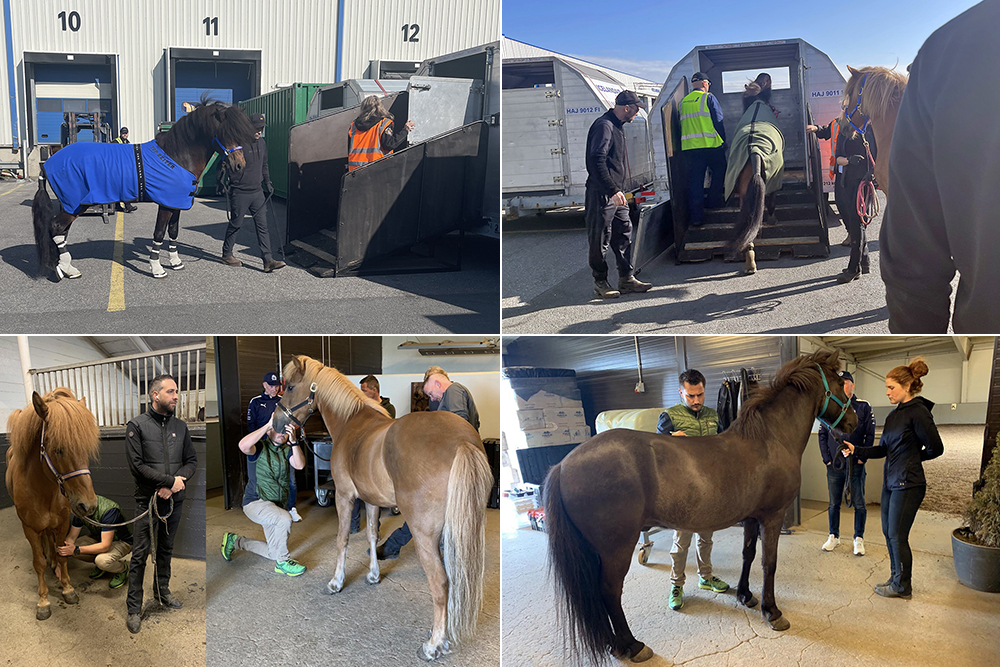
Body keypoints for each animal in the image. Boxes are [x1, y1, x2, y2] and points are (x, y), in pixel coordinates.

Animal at [4, 386, 101, 620]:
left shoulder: (63, 522)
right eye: (58, 449)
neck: (43, 489)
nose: (88, 506)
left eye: (85, 449)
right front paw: (43, 601)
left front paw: (67, 588)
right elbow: (38, 562)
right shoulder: (29, 528)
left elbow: (62, 553)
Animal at [33, 96, 256, 280]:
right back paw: (65, 269)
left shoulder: (176, 203)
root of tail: (48, 163)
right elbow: (159, 233)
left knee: (61, 231)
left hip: (72, 205)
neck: (177, 156)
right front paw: (157, 268)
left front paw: (175, 262)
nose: (240, 165)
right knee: (57, 227)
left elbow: (173, 232)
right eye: (225, 132)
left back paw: (65, 267)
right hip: (76, 204)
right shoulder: (166, 205)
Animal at [272, 354, 494, 664]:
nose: (276, 424)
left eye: (291, 386)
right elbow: (371, 535)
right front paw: (373, 575)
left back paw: (434, 644)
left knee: (440, 583)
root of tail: (462, 441)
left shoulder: (345, 496)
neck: (351, 423)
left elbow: (342, 539)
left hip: (425, 534)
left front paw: (336, 582)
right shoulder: (371, 501)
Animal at [548, 350, 860, 664]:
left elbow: (748, 555)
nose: (854, 423)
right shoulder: (772, 517)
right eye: (839, 385)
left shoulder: (751, 518)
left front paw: (746, 596)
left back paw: (616, 645)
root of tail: (562, 465)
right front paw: (772, 612)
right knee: (610, 591)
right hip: (617, 547)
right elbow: (768, 563)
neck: (770, 439)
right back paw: (633, 646)